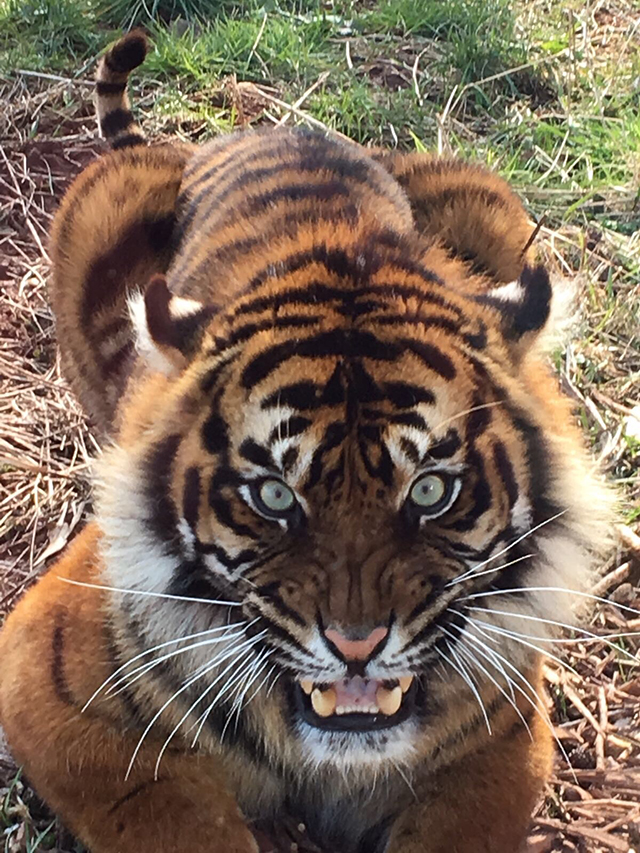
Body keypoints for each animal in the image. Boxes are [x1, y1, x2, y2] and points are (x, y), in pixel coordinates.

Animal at [0, 26, 608, 852]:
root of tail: (261, 131)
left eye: (430, 488)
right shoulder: (54, 682)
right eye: (272, 495)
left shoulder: (501, 734)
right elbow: (188, 825)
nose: (356, 646)